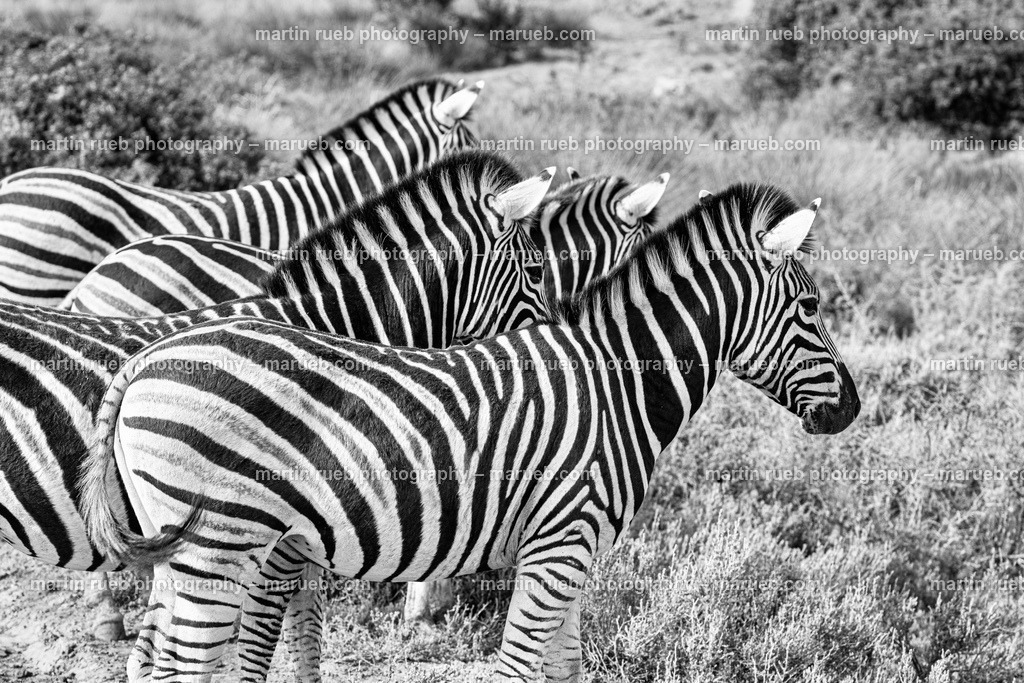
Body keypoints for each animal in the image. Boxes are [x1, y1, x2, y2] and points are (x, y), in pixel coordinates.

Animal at [80, 183, 860, 682]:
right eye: (813, 305)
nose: (852, 410)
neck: (618, 384)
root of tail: (146, 361)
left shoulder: (570, 552)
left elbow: (566, 670)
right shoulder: (558, 546)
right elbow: (517, 668)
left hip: (186, 552)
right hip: (219, 544)